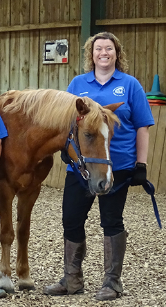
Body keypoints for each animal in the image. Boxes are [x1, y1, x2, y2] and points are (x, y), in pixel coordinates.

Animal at [0, 88, 122, 294]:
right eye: (88, 134)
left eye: (111, 136)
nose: (105, 182)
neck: (20, 137)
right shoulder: (6, 190)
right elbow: (7, 233)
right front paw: (5, 279)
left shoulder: (31, 191)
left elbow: (23, 232)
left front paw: (24, 277)